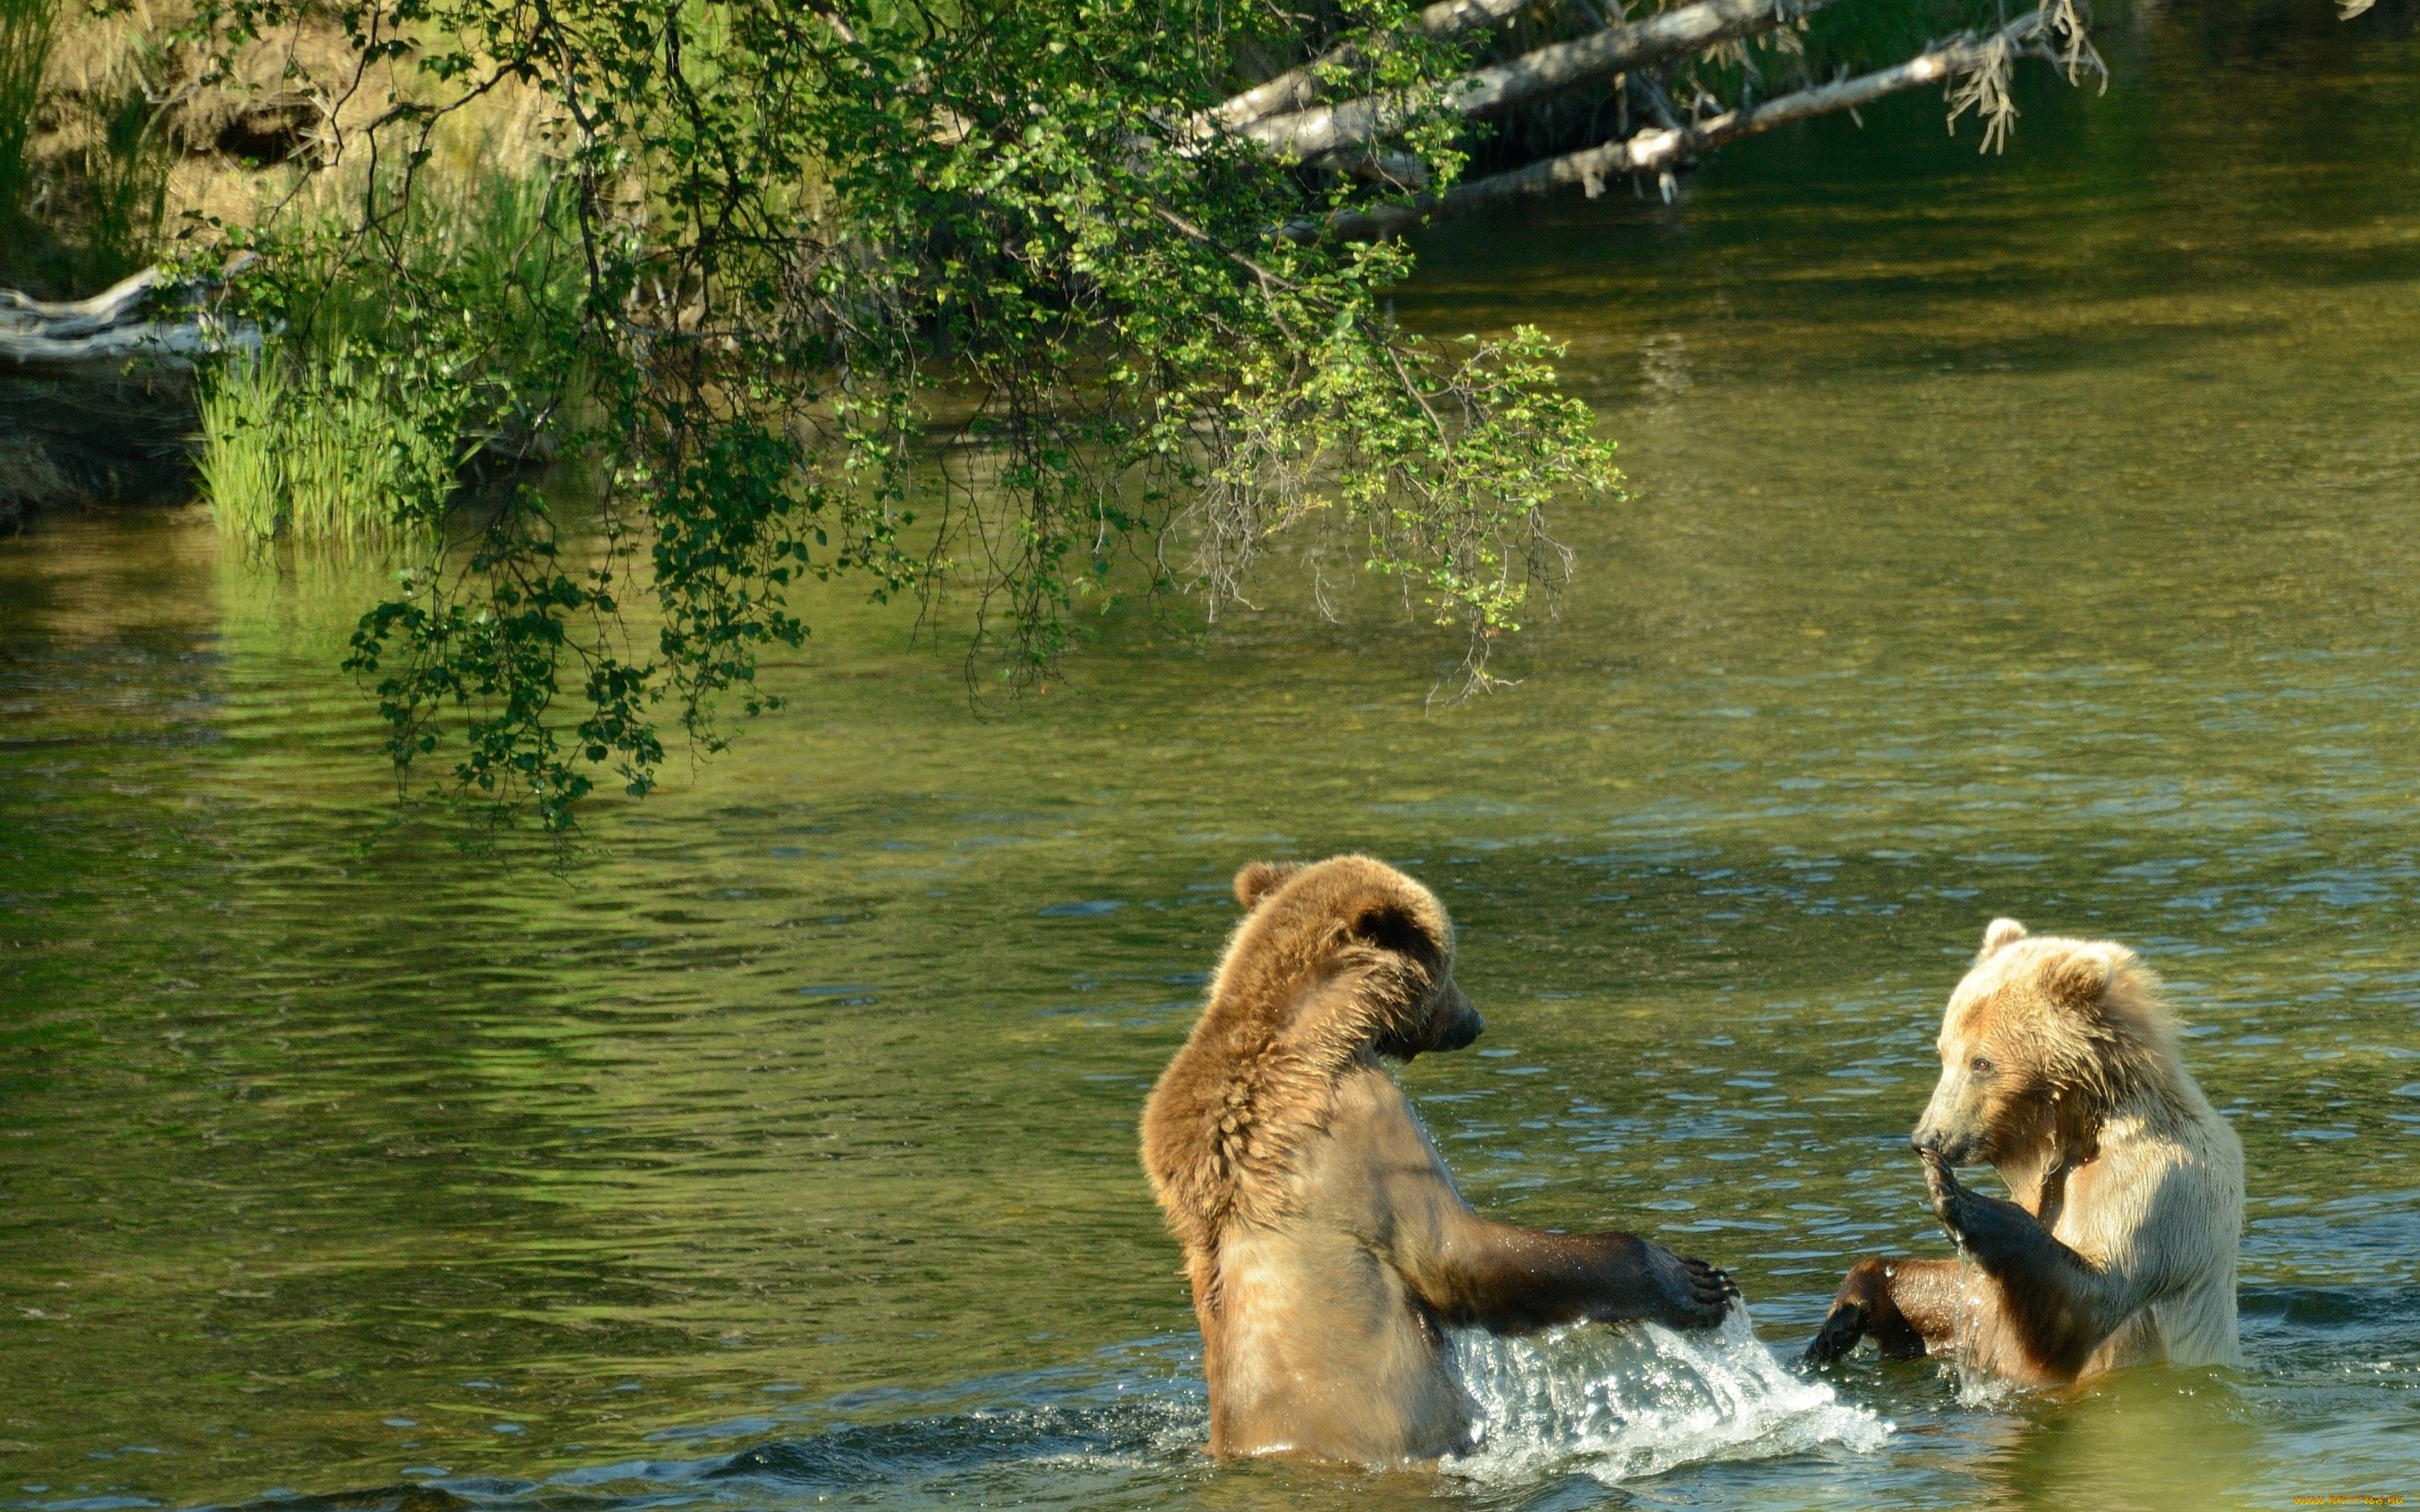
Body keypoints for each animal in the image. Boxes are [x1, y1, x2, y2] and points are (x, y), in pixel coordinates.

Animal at [1810, 914, 2236, 1383]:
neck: (2074, 1132)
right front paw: (1843, 1317)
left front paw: (1958, 1197)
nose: (1926, 1139)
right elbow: (1971, 1295)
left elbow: (2090, 1301)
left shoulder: (2158, 1183)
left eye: (1981, 1062)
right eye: (1944, 1052)